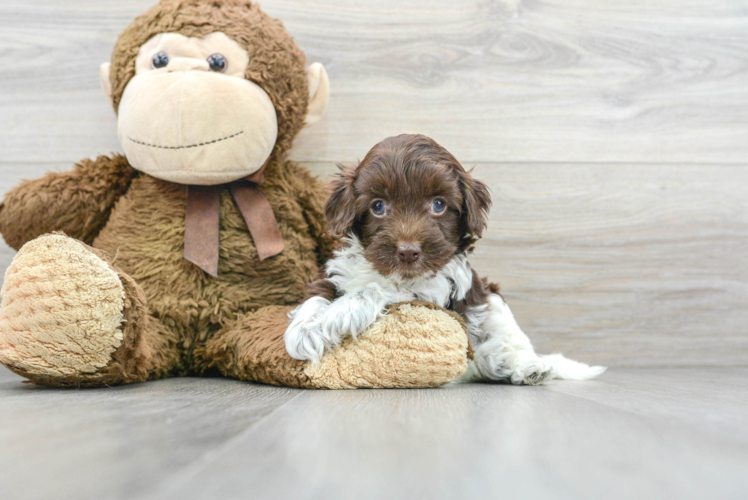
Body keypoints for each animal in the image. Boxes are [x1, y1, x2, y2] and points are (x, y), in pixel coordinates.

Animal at [284, 135, 604, 384]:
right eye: (378, 207)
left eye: (438, 204)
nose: (408, 251)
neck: (389, 270)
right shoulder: (337, 270)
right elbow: (317, 295)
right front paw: (304, 330)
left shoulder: (436, 288)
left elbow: (382, 289)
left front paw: (340, 313)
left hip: (492, 300)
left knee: (512, 340)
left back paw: (527, 366)